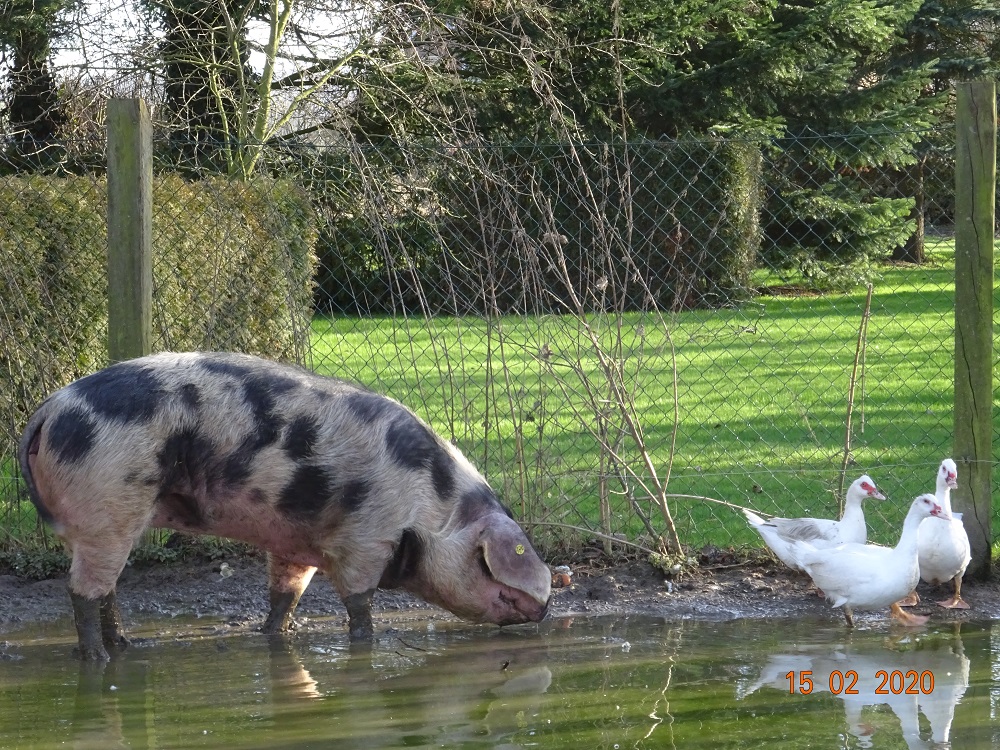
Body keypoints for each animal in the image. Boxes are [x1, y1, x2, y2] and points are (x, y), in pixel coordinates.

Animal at [18, 351, 551, 660]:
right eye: (499, 559)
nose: (547, 609)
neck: (433, 505)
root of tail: (48, 410)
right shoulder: (364, 537)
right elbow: (358, 602)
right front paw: (367, 643)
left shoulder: (294, 542)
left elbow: (284, 595)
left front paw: (273, 636)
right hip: (107, 503)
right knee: (82, 591)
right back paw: (100, 659)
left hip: (106, 518)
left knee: (103, 586)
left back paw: (127, 645)